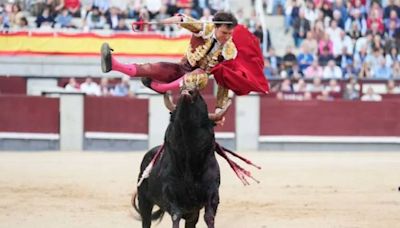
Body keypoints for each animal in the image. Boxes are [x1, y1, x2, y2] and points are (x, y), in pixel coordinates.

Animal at [134, 90, 223, 228]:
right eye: (173, 114)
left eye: (204, 107)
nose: (188, 92)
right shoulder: (172, 197)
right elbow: (176, 217)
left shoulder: (213, 194)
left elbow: (209, 217)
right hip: (144, 200)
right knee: (146, 220)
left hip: (192, 212)